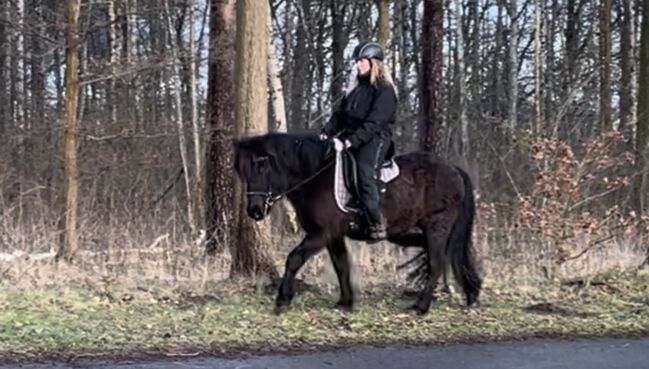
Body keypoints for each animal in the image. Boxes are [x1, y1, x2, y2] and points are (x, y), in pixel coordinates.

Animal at [233, 132, 480, 314]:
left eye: (262, 167)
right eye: (243, 171)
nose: (255, 211)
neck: (316, 177)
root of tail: (454, 169)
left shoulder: (322, 233)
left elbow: (294, 258)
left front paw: (282, 300)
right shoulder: (333, 235)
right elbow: (341, 264)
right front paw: (345, 302)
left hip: (437, 224)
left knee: (437, 261)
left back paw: (421, 306)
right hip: (403, 232)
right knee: (433, 253)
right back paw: (468, 292)